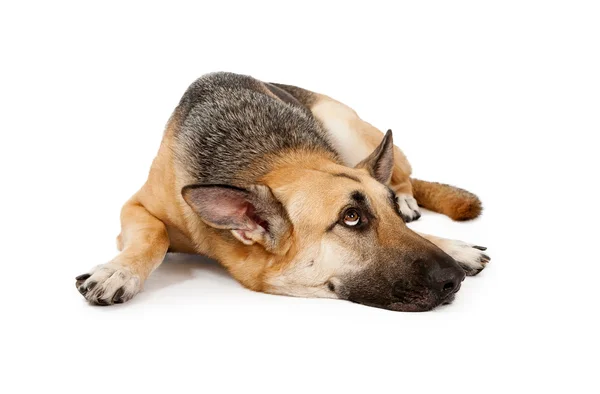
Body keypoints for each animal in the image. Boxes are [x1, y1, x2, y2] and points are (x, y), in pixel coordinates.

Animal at [75, 71, 490, 310]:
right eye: (351, 218)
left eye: (381, 212)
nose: (454, 278)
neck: (267, 161)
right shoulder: (136, 207)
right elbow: (153, 236)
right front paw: (118, 271)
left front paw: (451, 244)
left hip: (345, 126)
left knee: (404, 174)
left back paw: (407, 196)